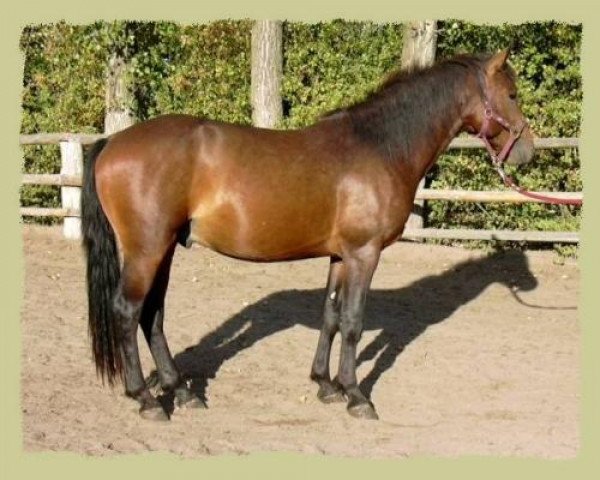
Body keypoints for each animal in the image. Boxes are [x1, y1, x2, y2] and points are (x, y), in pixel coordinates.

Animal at [81, 50, 536, 422]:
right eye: (512, 94)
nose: (527, 151)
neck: (380, 147)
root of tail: (111, 143)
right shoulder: (364, 254)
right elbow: (352, 322)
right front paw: (356, 396)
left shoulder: (340, 256)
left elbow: (330, 315)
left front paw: (325, 384)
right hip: (146, 250)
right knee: (128, 311)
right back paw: (146, 399)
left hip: (164, 249)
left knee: (153, 315)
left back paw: (180, 391)